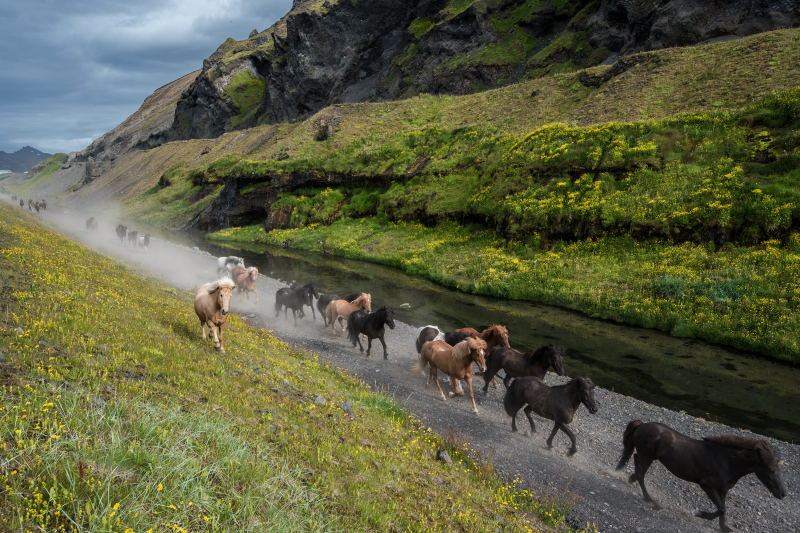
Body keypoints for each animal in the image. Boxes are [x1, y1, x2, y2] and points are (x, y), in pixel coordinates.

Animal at [620, 420, 788, 532]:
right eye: (771, 470)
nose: (783, 493)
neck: (726, 461)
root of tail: (641, 425)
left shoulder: (723, 489)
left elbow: (723, 508)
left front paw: (724, 527)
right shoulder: (707, 486)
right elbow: (722, 509)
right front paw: (701, 514)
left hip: (647, 456)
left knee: (636, 461)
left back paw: (632, 479)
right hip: (647, 456)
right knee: (641, 474)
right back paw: (650, 500)